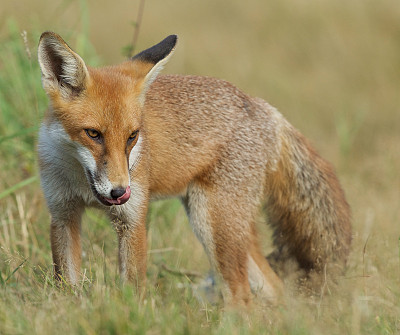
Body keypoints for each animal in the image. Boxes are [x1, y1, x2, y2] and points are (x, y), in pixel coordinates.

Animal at [36, 32, 350, 308]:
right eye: (93, 134)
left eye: (132, 136)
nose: (120, 191)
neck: (82, 182)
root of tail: (265, 109)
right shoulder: (63, 214)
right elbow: (67, 284)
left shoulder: (132, 220)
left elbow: (133, 290)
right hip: (222, 226)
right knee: (273, 287)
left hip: (213, 224)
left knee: (241, 297)